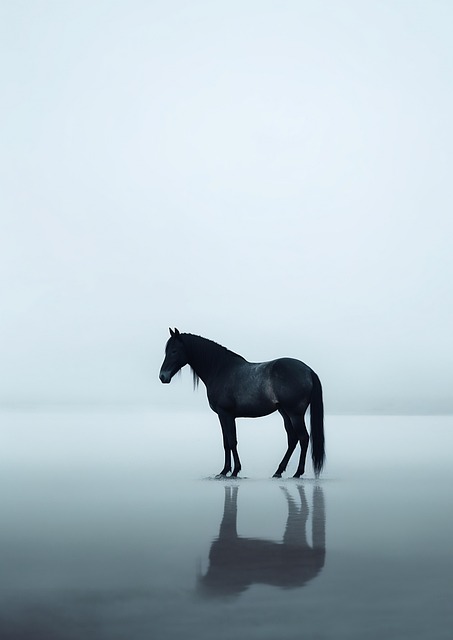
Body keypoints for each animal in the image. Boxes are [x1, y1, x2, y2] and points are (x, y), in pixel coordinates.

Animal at [159, 328, 325, 478]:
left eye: (174, 351)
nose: (162, 376)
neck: (221, 370)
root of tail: (308, 370)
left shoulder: (225, 414)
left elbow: (232, 442)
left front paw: (234, 471)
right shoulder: (223, 416)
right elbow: (226, 442)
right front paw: (224, 471)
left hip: (295, 414)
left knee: (303, 438)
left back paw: (297, 473)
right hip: (284, 413)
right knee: (292, 439)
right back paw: (278, 472)